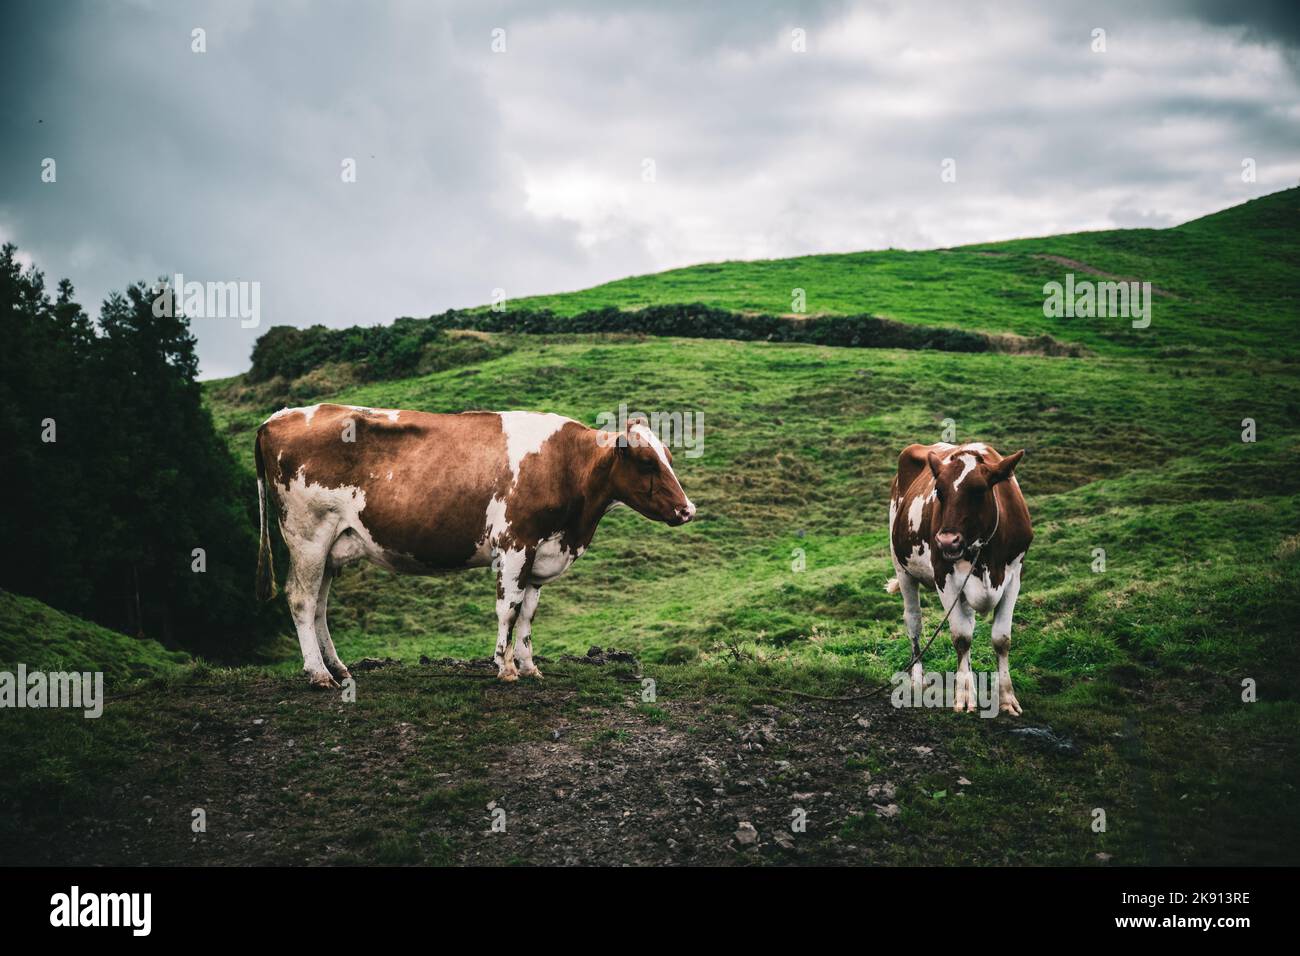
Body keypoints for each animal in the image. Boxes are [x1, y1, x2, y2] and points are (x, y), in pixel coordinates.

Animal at [255, 404, 695, 686]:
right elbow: (509, 608)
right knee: (301, 599)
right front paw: (505, 668)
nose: (687, 509)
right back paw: (318, 675)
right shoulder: (516, 544)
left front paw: (530, 667)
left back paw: (339, 668)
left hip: (332, 544)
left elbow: (529, 614)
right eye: (647, 462)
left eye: (669, 457)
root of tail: (278, 417)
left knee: (319, 605)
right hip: (307, 534)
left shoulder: (540, 552)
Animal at [886, 442, 1033, 715]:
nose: (946, 541)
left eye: (979, 491)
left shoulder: (1013, 576)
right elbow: (961, 637)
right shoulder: (945, 578)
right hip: (902, 569)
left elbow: (1002, 639)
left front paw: (1007, 698)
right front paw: (964, 696)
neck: (985, 554)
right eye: (939, 492)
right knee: (914, 621)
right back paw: (918, 678)